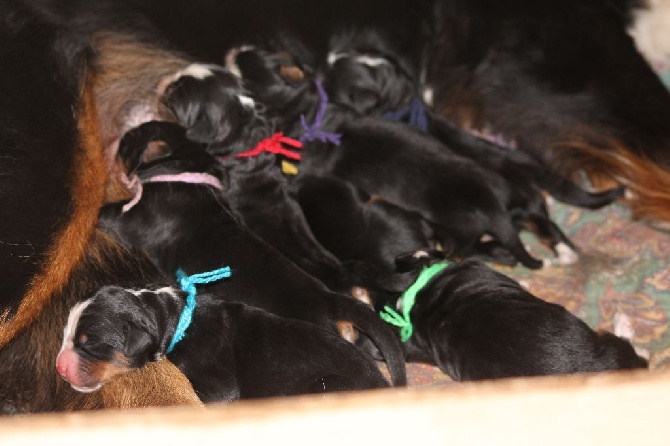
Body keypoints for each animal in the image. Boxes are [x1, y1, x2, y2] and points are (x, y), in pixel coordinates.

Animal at [57, 284, 394, 402]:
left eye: (89, 343)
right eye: (67, 335)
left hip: (326, 386)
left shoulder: (220, 387)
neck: (173, 321)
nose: (59, 368)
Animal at [98, 120, 406, 386]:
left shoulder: (129, 216)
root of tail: (329, 299)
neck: (189, 171)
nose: (119, 138)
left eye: (133, 137)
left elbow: (107, 212)